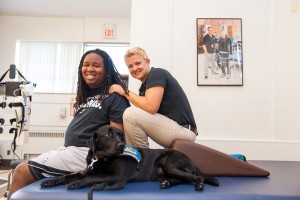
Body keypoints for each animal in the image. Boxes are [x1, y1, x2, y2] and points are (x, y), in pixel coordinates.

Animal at [40, 125, 218, 192]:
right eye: (108, 135)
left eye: (120, 135)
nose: (121, 145)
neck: (101, 159)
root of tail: (191, 160)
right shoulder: (87, 170)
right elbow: (70, 175)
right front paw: (51, 181)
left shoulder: (117, 177)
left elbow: (91, 178)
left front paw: (77, 184)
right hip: (164, 172)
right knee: (180, 179)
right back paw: (167, 183)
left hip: (171, 165)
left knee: (195, 177)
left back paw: (199, 184)